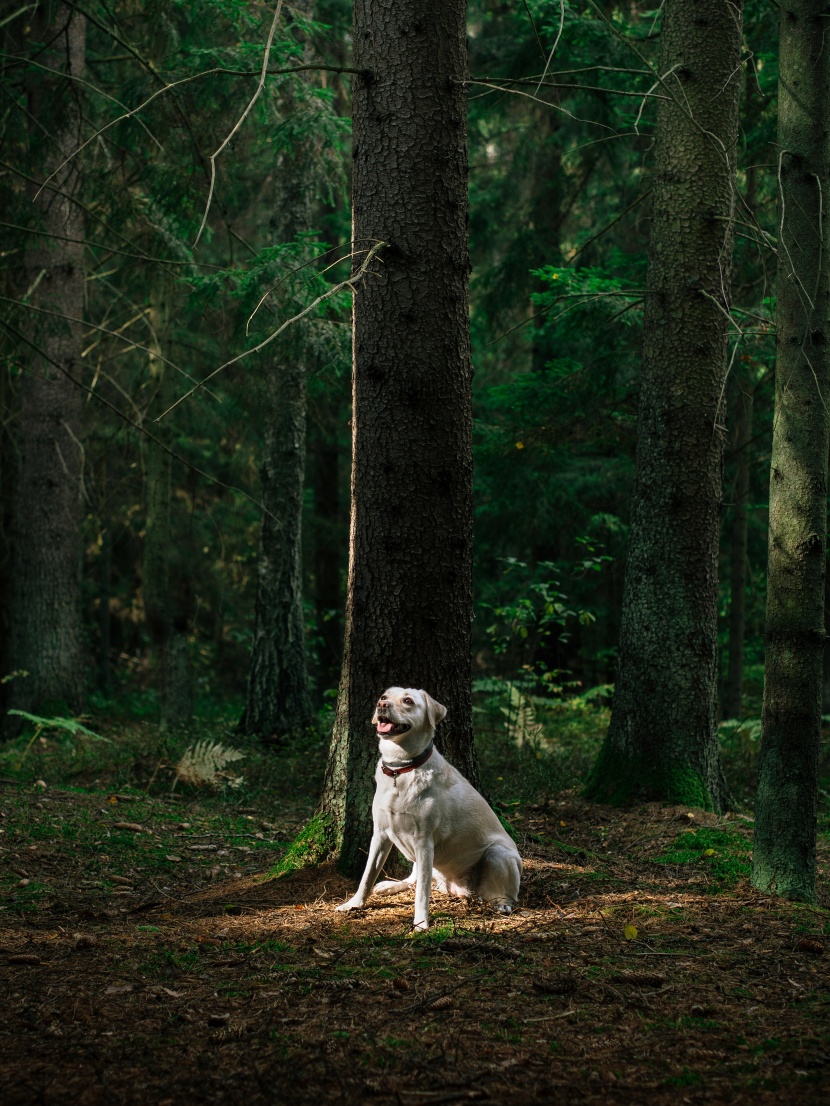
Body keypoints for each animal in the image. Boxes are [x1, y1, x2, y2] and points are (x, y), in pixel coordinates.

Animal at [336, 685, 520, 929]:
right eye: (384, 697)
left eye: (408, 701)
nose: (381, 705)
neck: (400, 768)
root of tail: (460, 888)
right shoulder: (381, 834)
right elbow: (367, 876)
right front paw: (354, 903)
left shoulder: (423, 841)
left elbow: (422, 893)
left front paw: (421, 923)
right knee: (412, 878)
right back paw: (390, 885)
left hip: (499, 854)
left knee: (507, 893)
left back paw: (502, 904)